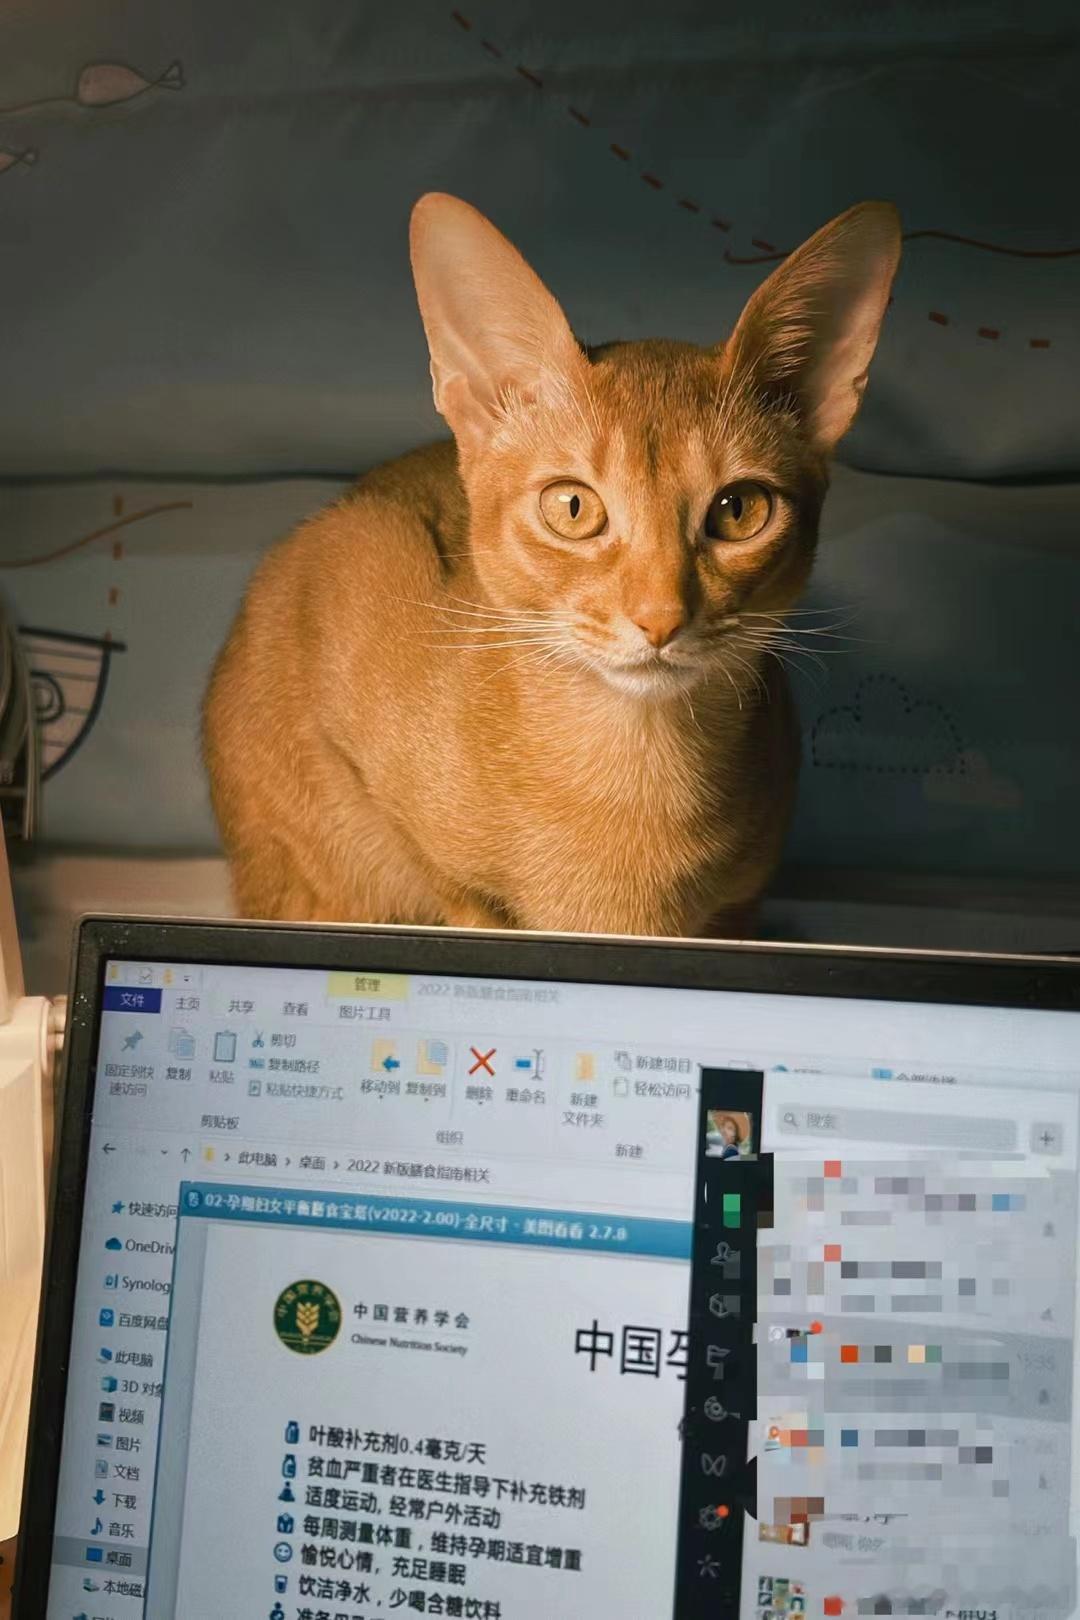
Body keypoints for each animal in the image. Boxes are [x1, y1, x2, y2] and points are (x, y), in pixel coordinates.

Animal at [203, 193, 899, 936]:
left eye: (738, 510)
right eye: (572, 507)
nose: (660, 619)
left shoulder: (741, 902)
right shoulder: (345, 570)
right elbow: (452, 888)